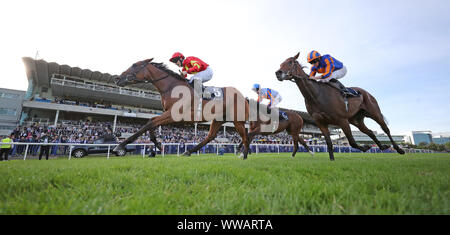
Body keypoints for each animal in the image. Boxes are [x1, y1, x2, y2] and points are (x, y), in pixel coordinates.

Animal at [112, 58, 251, 159]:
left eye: (134, 65)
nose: (117, 78)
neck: (171, 87)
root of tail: (244, 97)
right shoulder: (167, 113)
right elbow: (151, 121)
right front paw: (158, 145)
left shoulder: (174, 114)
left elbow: (149, 124)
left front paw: (120, 146)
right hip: (219, 119)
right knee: (211, 136)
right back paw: (188, 152)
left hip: (237, 120)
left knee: (245, 135)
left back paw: (244, 155)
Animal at [276, 52, 406, 161]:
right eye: (281, 63)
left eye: (290, 62)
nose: (278, 73)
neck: (317, 95)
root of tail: (367, 93)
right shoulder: (321, 122)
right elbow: (329, 142)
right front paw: (332, 159)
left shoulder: (342, 120)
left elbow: (352, 142)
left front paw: (365, 147)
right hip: (356, 120)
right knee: (369, 132)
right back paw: (383, 146)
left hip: (374, 113)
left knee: (385, 129)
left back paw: (399, 149)